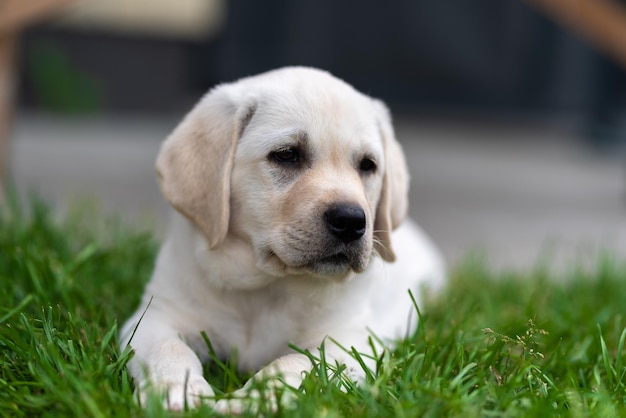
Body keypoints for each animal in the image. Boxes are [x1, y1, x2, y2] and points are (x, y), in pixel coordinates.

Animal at [120, 66, 444, 412]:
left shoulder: (350, 343)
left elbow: (292, 364)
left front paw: (247, 401)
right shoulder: (156, 317)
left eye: (368, 165)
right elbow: (168, 349)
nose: (351, 221)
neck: (266, 285)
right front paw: (173, 391)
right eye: (287, 155)